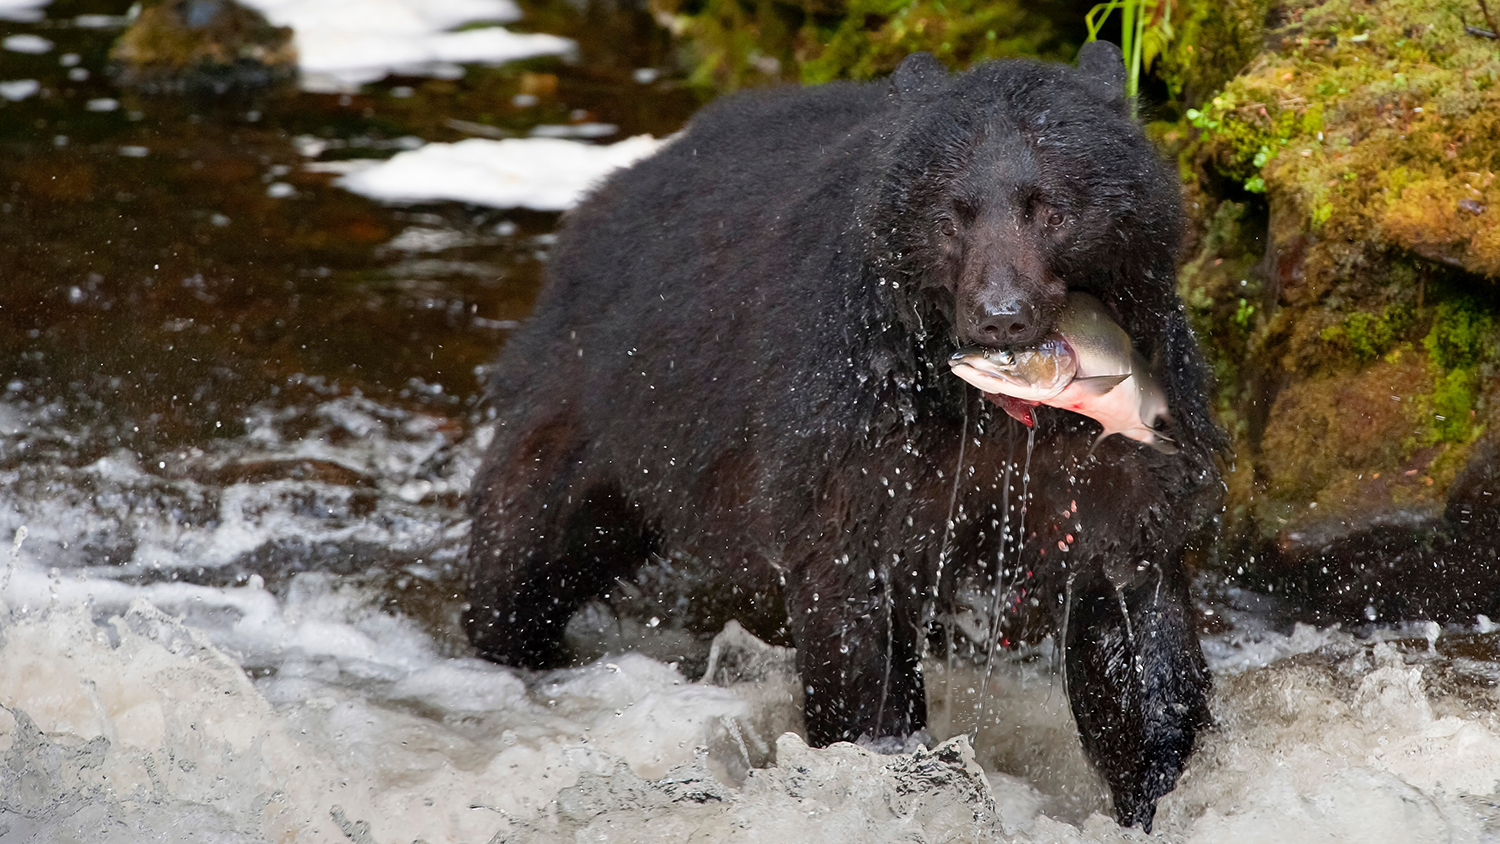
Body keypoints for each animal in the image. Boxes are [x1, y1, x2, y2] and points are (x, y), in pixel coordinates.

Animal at [464, 42, 1225, 831]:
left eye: (1050, 208)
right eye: (951, 216)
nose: (1001, 315)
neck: (984, 405)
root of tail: (605, 196)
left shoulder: (1117, 438)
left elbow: (1129, 619)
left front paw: (1159, 783)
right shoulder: (860, 428)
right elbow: (855, 609)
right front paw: (875, 754)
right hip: (599, 392)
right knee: (529, 540)